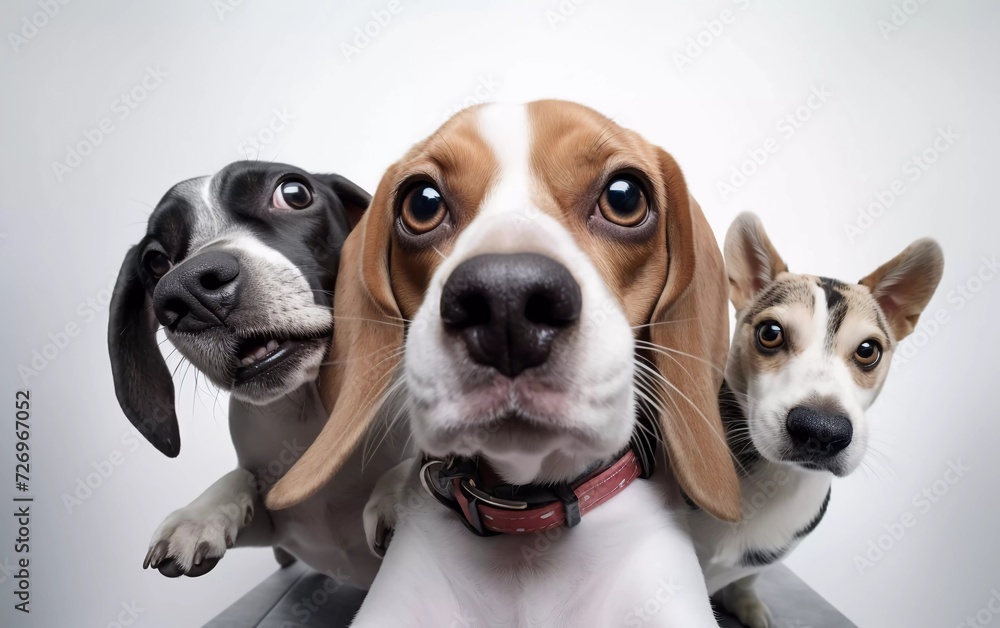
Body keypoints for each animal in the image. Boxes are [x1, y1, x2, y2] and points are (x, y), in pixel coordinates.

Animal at [108, 158, 406, 584]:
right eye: (156, 260)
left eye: (294, 193)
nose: (188, 289)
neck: (310, 414)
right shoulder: (289, 530)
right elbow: (241, 477)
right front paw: (198, 514)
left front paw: (401, 489)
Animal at [688, 212, 944, 628]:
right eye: (770, 332)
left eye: (869, 350)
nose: (821, 431)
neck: (773, 476)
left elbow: (748, 576)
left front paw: (744, 600)